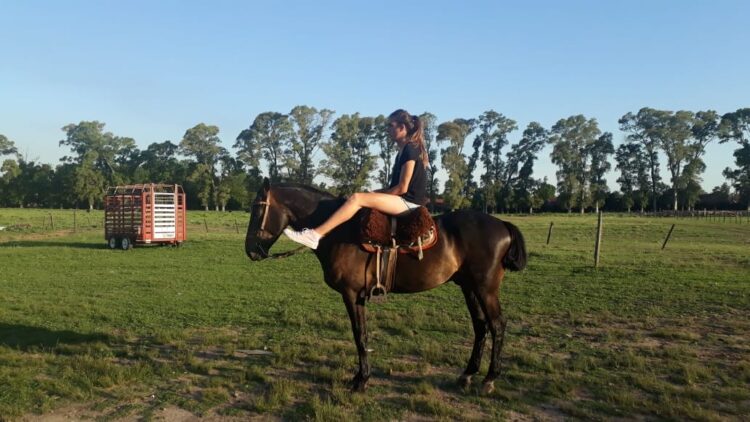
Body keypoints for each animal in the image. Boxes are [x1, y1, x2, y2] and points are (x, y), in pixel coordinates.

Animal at [244, 179, 527, 394]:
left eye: (258, 211)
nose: (250, 251)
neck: (340, 231)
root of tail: (502, 224)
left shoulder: (352, 295)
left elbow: (360, 335)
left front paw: (361, 380)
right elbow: (362, 335)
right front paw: (361, 377)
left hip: (485, 288)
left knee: (497, 325)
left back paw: (489, 379)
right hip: (468, 287)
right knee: (481, 327)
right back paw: (467, 374)